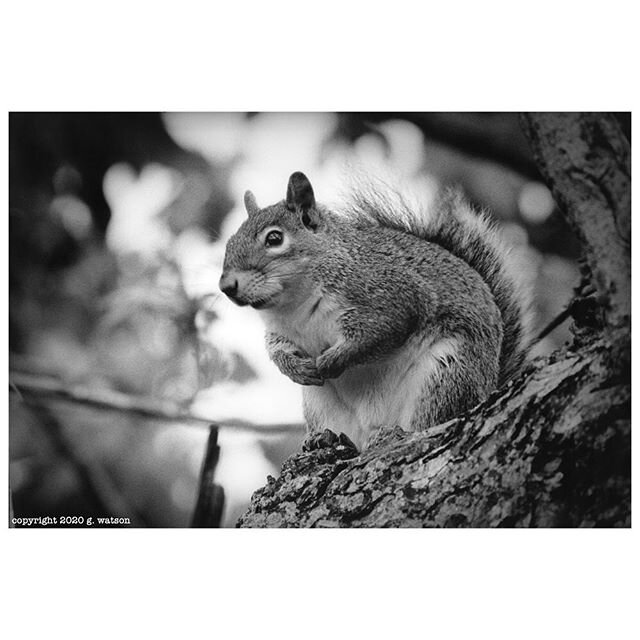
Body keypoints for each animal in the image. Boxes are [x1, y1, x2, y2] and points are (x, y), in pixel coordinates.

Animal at [219, 170, 528, 450]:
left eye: (274, 239)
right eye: (230, 242)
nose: (226, 285)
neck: (295, 306)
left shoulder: (391, 297)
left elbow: (376, 335)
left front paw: (330, 361)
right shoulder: (280, 332)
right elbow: (276, 351)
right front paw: (295, 368)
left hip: (447, 373)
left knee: (430, 419)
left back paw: (393, 434)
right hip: (320, 407)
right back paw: (323, 440)